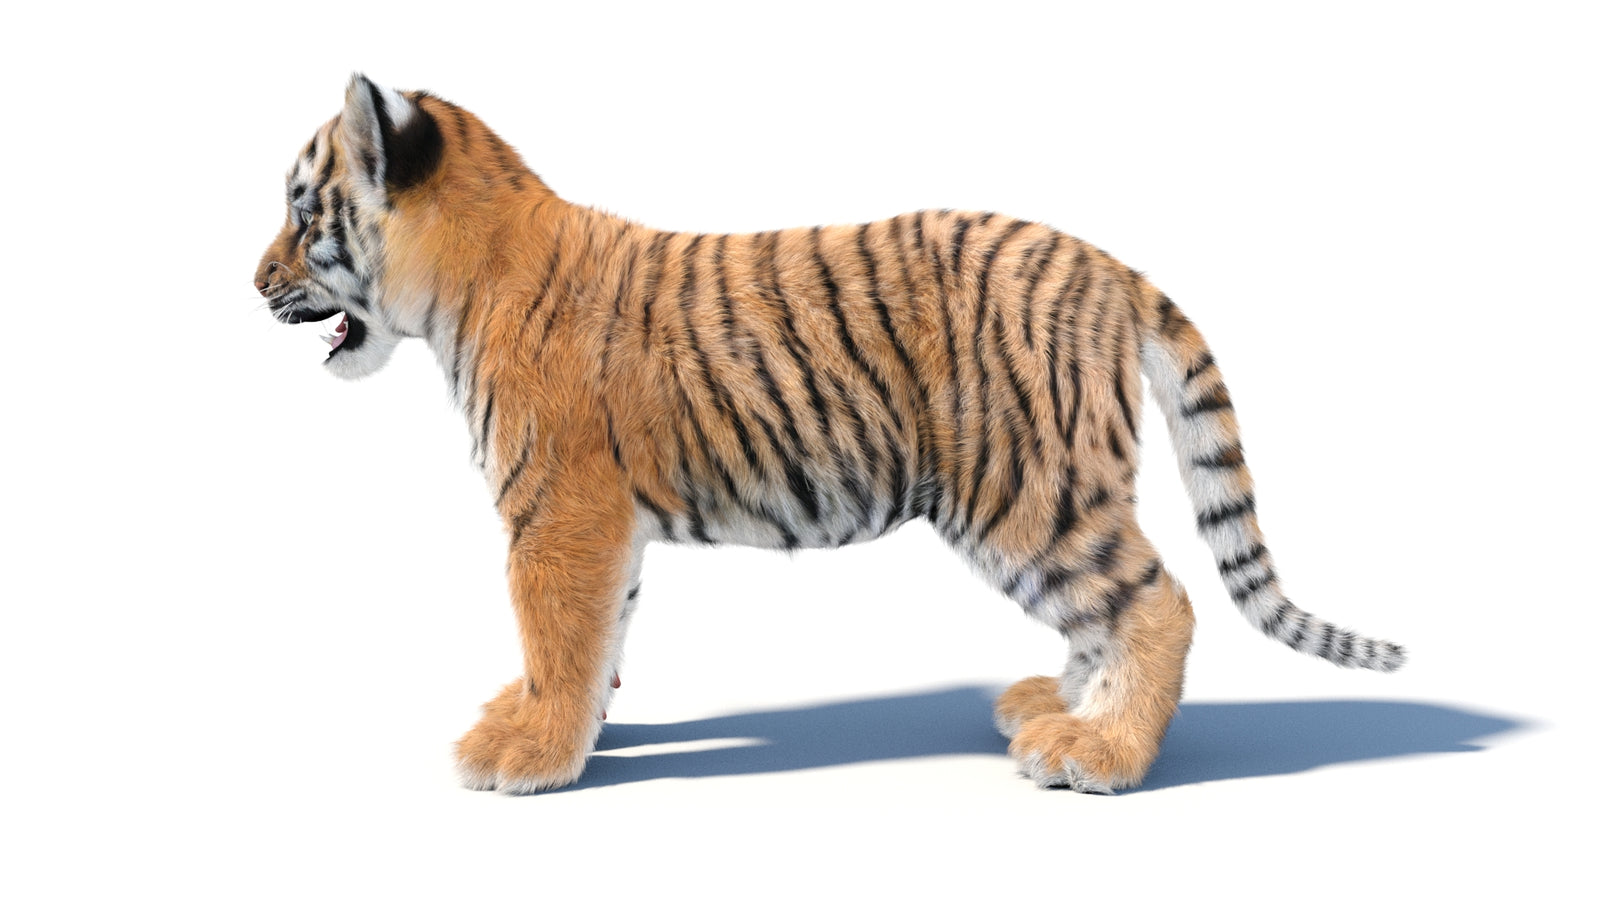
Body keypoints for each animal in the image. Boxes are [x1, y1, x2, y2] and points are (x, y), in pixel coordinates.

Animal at [254, 75, 1405, 795]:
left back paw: (1100, 753)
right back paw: (1052, 705)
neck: (460, 278)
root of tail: (1108, 268)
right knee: (1107, 608)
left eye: (304, 215)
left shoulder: (559, 510)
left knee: (1155, 601)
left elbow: (558, 631)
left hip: (1024, 487)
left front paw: (527, 751)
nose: (253, 279)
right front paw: (560, 725)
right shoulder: (603, 523)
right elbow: (604, 633)